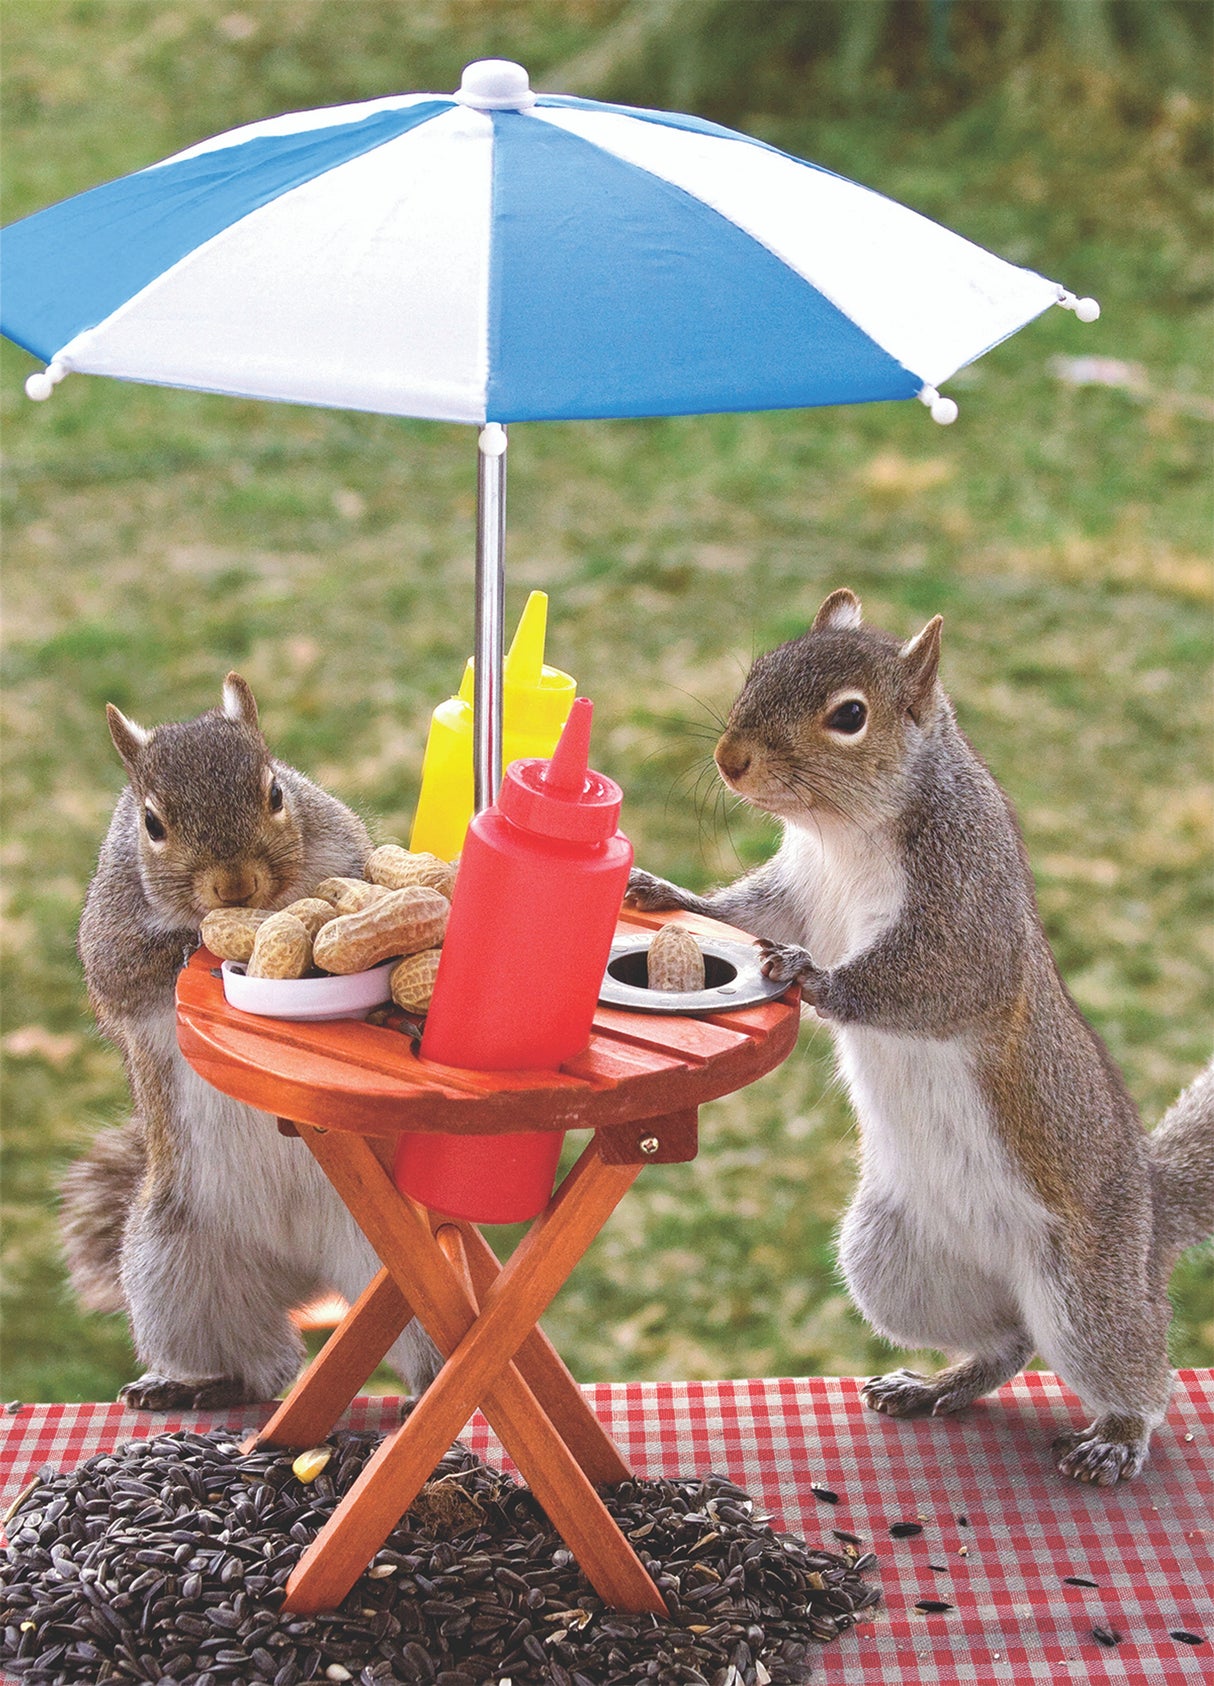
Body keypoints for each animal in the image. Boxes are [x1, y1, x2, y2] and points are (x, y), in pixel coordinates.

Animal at [64, 674, 441, 1409]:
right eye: (151, 824)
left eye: (275, 793)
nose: (235, 885)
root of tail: (308, 1277)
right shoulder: (109, 936)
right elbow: (124, 971)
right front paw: (190, 947)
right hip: (174, 1266)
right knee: (261, 1365)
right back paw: (197, 1387)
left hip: (398, 1268)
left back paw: (425, 1392)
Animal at [628, 588, 1214, 1484]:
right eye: (759, 668)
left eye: (849, 716)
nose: (730, 759)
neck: (843, 832)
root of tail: (1152, 1213)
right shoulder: (794, 888)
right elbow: (743, 913)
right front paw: (666, 891)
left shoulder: (964, 909)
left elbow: (930, 980)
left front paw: (814, 978)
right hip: (892, 1261)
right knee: (1007, 1342)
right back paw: (936, 1385)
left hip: (1085, 1288)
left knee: (1133, 1366)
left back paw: (1117, 1436)